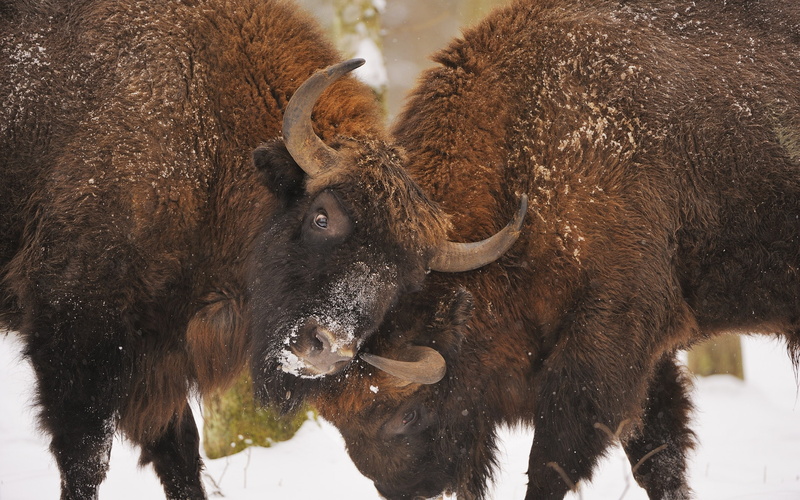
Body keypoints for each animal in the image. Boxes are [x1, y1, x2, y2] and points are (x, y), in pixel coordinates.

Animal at [0, 0, 522, 498]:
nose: (328, 350)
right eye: (321, 216)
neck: (206, 141)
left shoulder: (161, 361)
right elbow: (88, 458)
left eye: (407, 279)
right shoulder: (76, 338)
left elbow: (179, 453)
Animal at [311, 0, 800, 499]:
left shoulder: (607, 332)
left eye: (407, 413)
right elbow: (656, 454)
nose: (406, 487)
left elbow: (554, 458)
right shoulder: (649, 354)